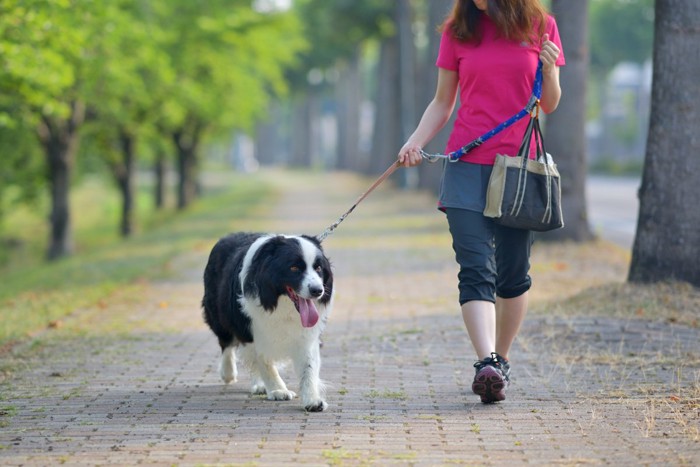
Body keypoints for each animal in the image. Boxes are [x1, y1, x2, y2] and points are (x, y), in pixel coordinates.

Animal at [202, 232, 334, 412]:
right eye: (294, 268)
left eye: (318, 268)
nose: (317, 290)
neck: (281, 303)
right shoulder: (251, 330)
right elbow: (264, 361)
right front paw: (278, 390)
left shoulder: (305, 334)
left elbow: (308, 366)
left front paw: (312, 400)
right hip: (219, 313)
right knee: (226, 342)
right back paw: (229, 373)